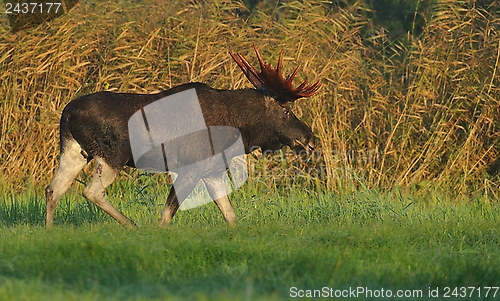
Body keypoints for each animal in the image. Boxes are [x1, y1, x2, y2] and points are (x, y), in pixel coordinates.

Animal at [46, 45, 320, 226]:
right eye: (285, 110)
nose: (310, 139)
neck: (238, 131)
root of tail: (67, 113)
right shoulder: (189, 167)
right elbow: (166, 217)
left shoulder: (211, 171)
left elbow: (230, 215)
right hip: (112, 155)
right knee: (89, 191)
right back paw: (132, 225)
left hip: (75, 151)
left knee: (53, 189)